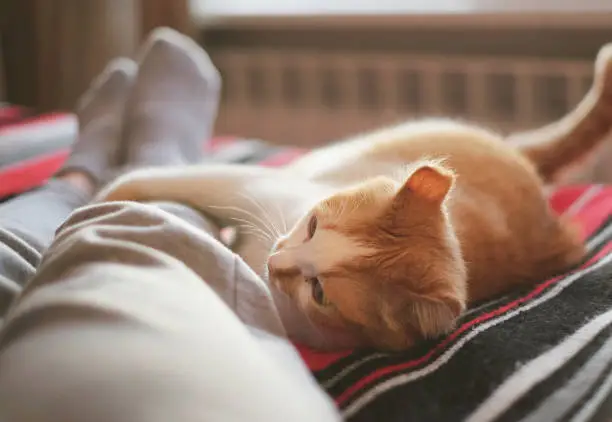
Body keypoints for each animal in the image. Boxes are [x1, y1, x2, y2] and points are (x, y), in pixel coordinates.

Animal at [97, 45, 612, 350]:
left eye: (320, 292)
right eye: (312, 225)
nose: (276, 262)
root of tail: (524, 161)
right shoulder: (246, 186)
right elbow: (150, 181)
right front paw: (106, 194)